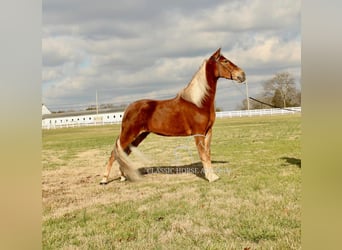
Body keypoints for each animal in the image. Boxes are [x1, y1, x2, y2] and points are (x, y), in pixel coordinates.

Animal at [99, 47, 246, 184]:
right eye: (225, 61)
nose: (242, 75)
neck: (198, 102)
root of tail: (128, 109)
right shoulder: (198, 133)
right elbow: (203, 155)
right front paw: (210, 177)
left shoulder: (208, 132)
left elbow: (208, 153)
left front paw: (213, 175)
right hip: (128, 135)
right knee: (114, 153)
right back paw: (104, 179)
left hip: (139, 136)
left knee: (123, 154)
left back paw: (123, 177)